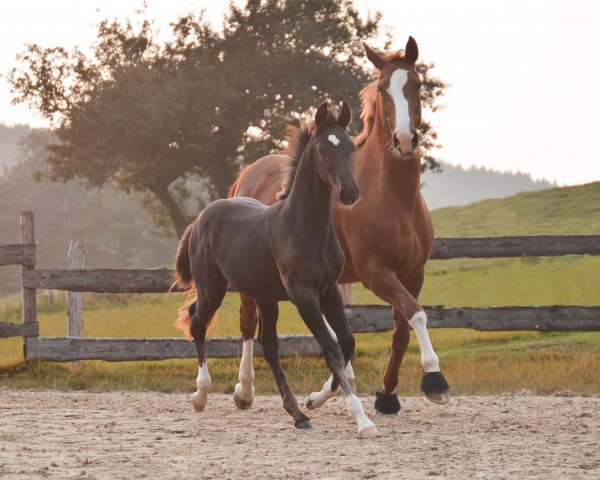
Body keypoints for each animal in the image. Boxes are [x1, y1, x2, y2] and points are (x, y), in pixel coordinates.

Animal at [175, 104, 380, 438]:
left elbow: (347, 342)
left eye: (351, 147)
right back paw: (201, 395)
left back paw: (297, 413)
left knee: (268, 345)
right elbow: (331, 349)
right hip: (212, 289)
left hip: (264, 296)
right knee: (196, 321)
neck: (305, 227)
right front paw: (362, 420)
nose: (349, 192)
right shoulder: (303, 295)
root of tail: (203, 214)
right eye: (322, 149)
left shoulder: (329, 290)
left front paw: (314, 400)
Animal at [230, 37, 450, 414]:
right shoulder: (376, 271)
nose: (404, 140)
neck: (391, 197)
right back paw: (245, 391)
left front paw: (387, 395)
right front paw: (434, 379)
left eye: (417, 84)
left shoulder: (413, 272)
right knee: (247, 323)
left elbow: (401, 330)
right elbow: (415, 313)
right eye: (382, 88)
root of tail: (248, 173)